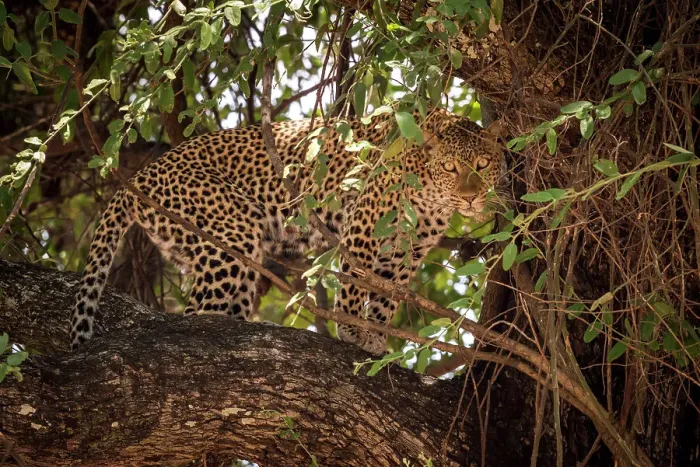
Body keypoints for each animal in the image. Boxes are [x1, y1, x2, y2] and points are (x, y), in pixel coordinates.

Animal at [69, 107, 504, 355]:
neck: (434, 196)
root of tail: (140, 175)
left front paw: (377, 335)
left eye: (482, 165)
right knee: (194, 315)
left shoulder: (405, 250)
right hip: (229, 232)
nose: (470, 199)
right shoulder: (362, 228)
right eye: (451, 168)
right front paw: (351, 331)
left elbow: (385, 297)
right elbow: (354, 285)